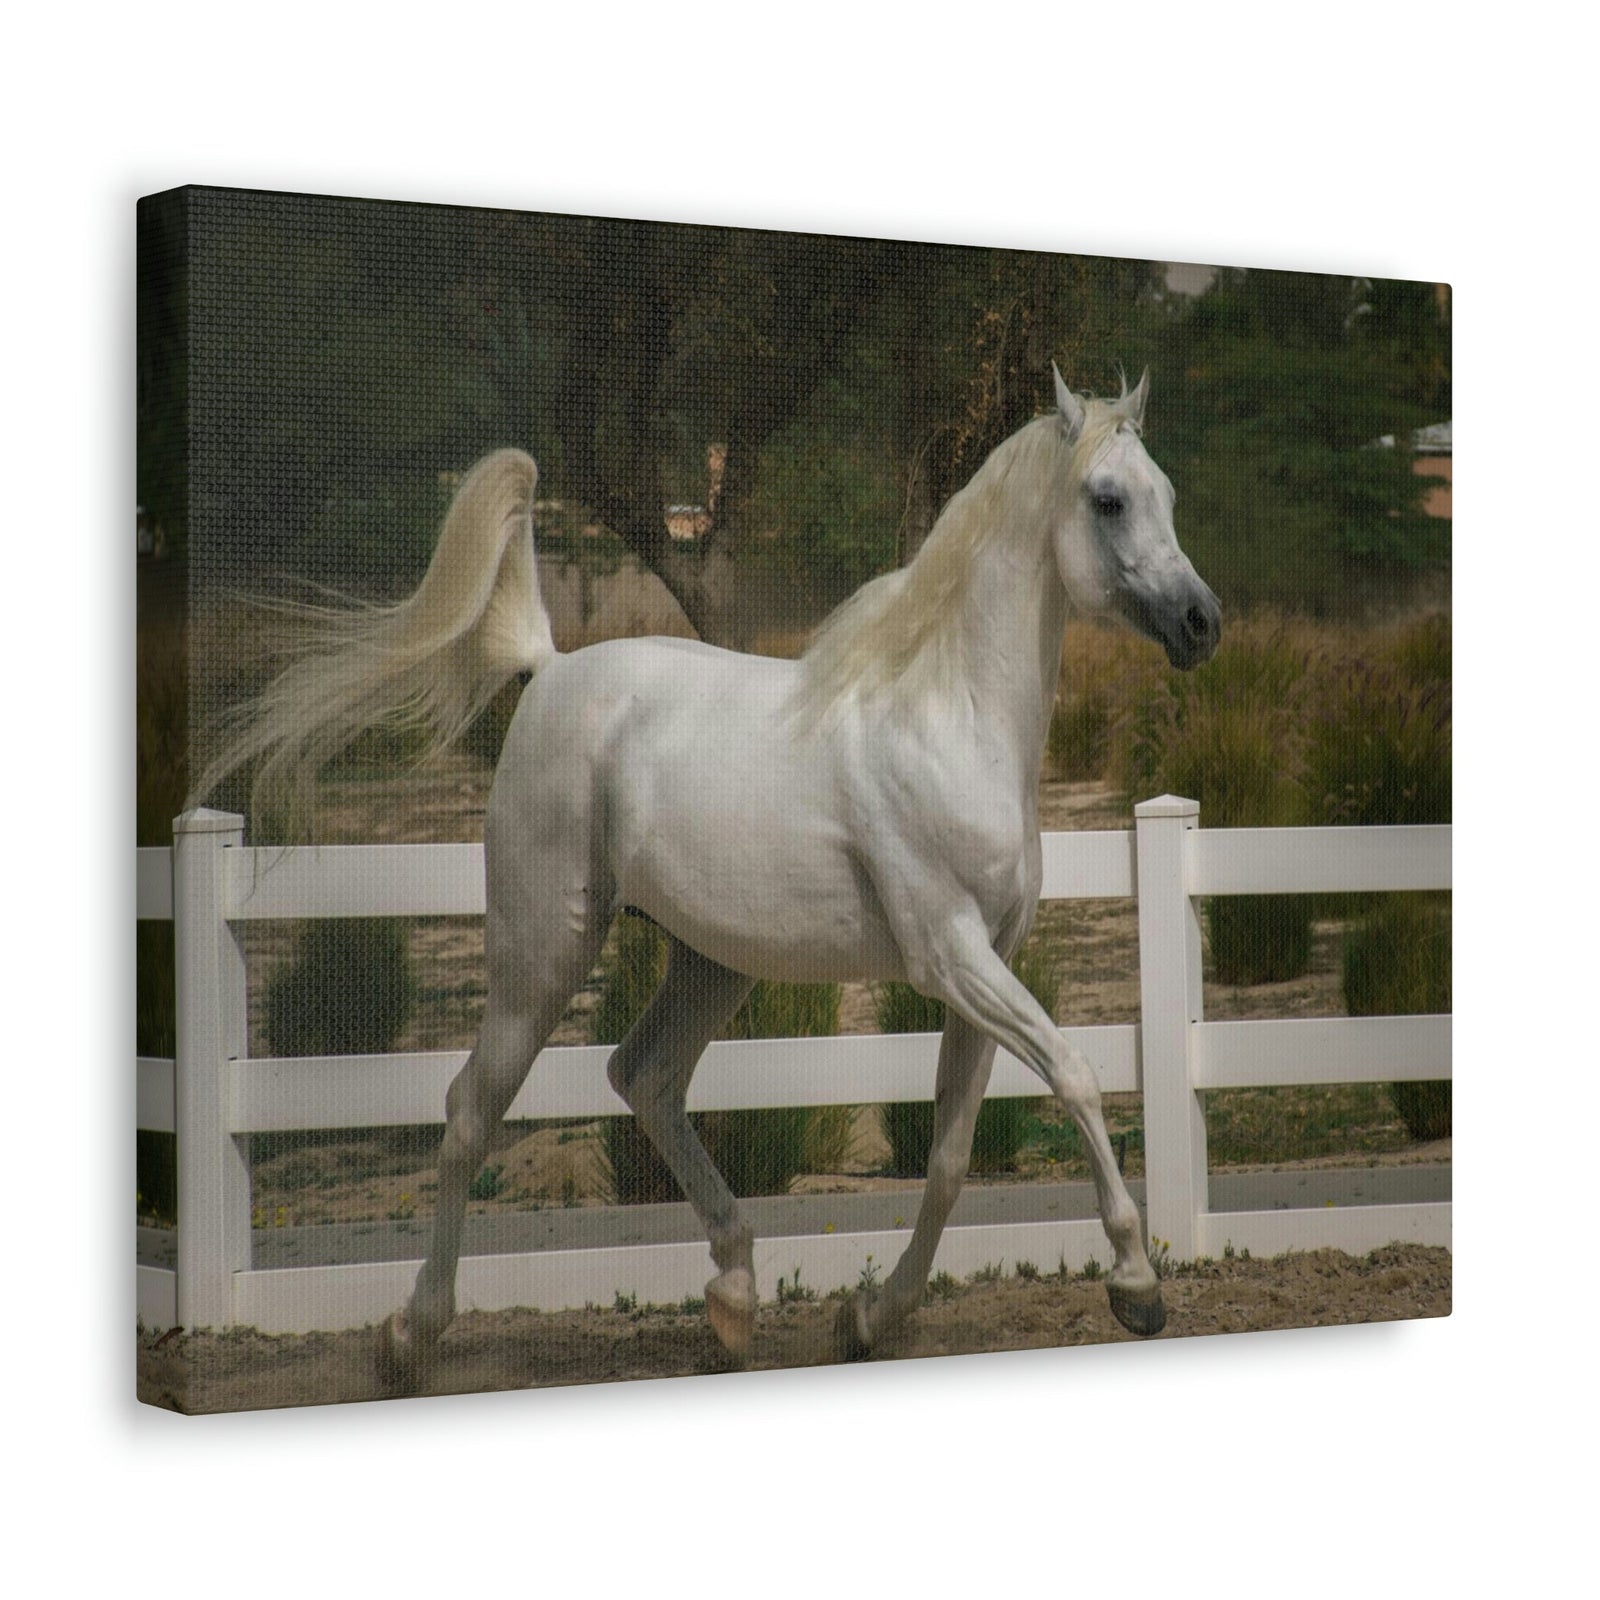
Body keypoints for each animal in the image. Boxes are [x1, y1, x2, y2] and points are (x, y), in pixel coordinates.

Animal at [196, 367, 1221, 1385]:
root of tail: (552, 669)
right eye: (1108, 498)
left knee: (642, 1076)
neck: (948, 719)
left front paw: (869, 1319)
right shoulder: (951, 955)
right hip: (545, 949)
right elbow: (1077, 1075)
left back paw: (732, 1293)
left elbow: (949, 1159)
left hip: (710, 961)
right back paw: (411, 1335)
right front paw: (1137, 1285)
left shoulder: (989, 958)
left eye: (1170, 493)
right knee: (471, 1111)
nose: (1202, 623)